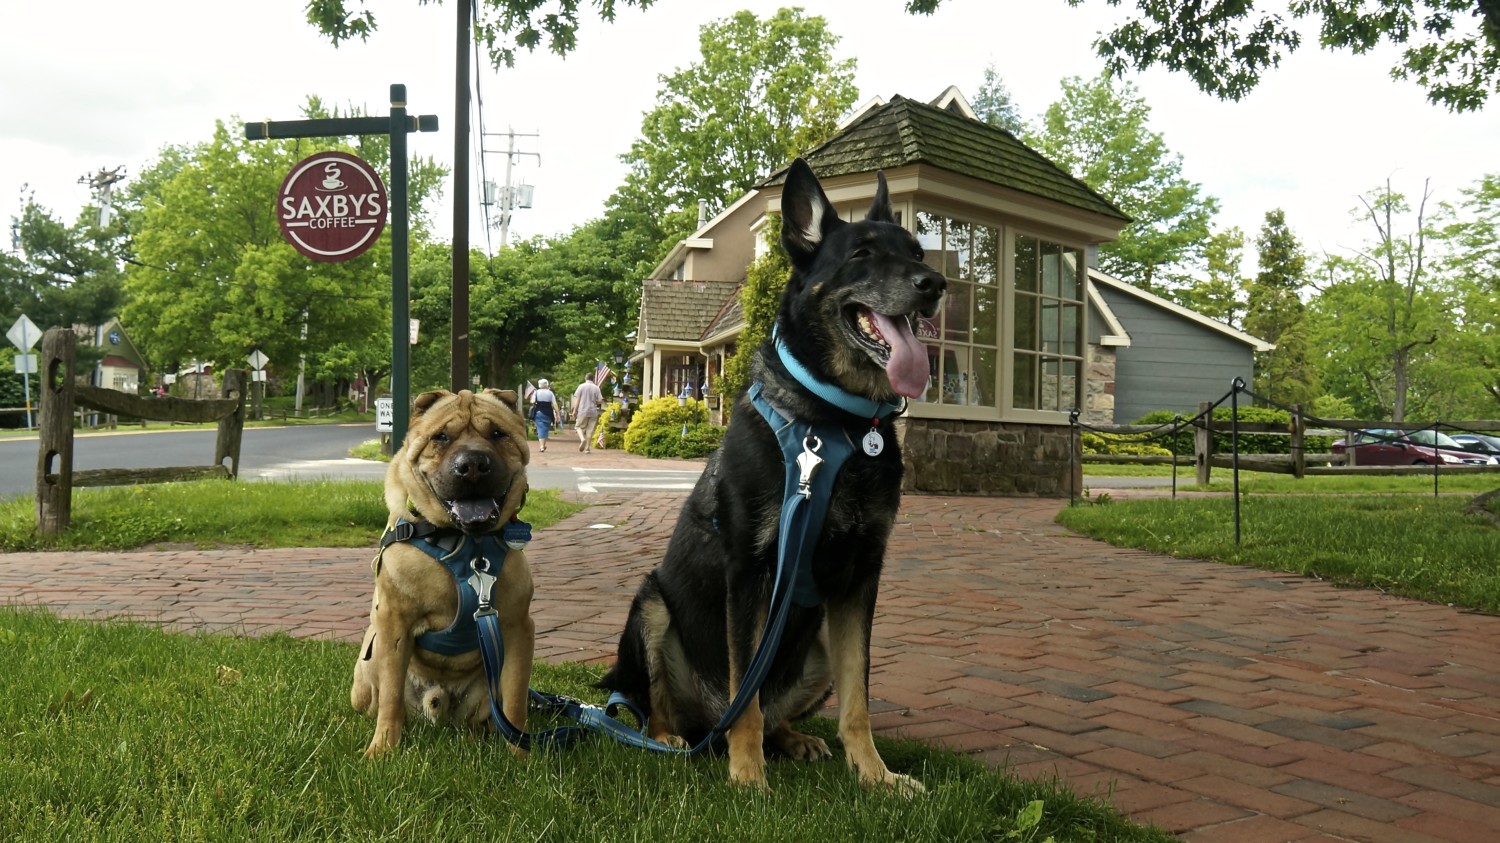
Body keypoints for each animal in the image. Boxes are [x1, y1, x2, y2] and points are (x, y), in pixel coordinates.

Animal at [348, 387, 537, 756]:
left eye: (497, 434)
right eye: (441, 437)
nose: (473, 464)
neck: (465, 543)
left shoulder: (517, 627)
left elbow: (515, 701)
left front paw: (521, 754)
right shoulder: (394, 624)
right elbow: (390, 695)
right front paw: (382, 750)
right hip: (364, 670)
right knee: (378, 698)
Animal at [597, 156, 936, 786]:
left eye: (919, 253)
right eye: (861, 253)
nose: (936, 285)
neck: (836, 420)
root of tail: (704, 723)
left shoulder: (860, 578)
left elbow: (858, 698)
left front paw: (875, 775)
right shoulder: (752, 571)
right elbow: (745, 692)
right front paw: (748, 775)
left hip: (818, 640)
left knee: (770, 707)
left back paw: (791, 739)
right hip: (651, 606)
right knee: (664, 706)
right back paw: (675, 739)